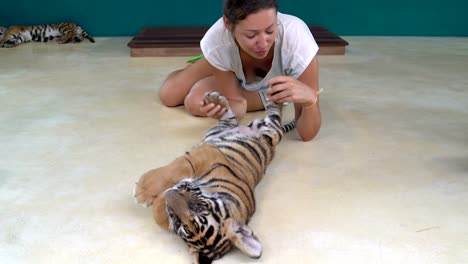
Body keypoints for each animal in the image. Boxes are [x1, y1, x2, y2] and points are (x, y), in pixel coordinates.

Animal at [133, 91, 292, 264]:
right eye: (179, 221)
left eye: (198, 209)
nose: (170, 194)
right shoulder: (208, 153)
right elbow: (181, 166)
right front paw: (148, 191)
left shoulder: (209, 154)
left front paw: (148, 195)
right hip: (230, 128)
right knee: (236, 115)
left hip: (265, 128)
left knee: (270, 117)